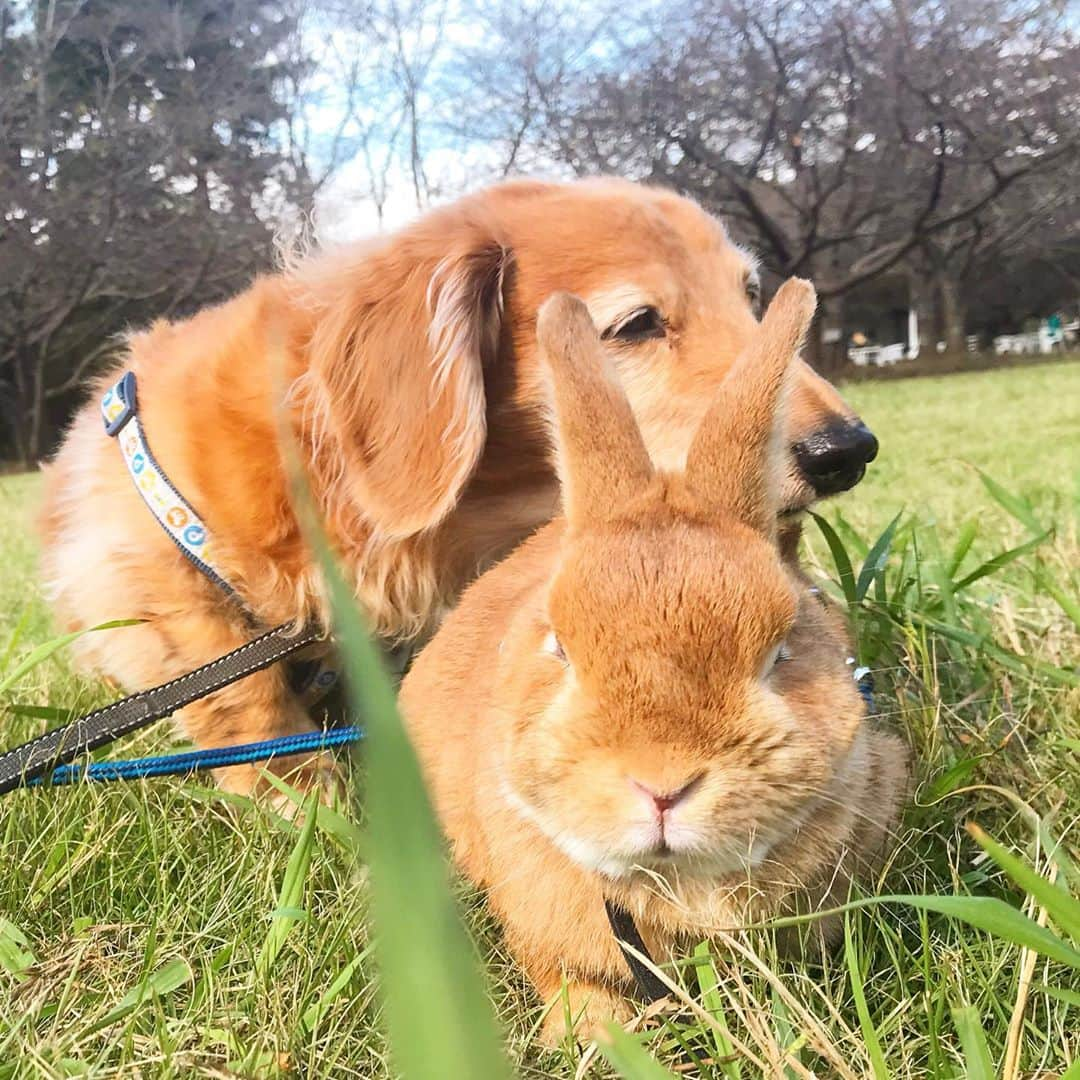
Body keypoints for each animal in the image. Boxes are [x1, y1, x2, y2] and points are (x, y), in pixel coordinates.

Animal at [39, 179, 876, 794]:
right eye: (637, 322)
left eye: (751, 295)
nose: (849, 450)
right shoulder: (146, 558)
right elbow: (244, 699)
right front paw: (305, 803)